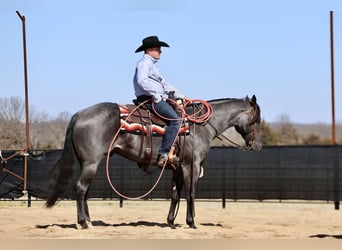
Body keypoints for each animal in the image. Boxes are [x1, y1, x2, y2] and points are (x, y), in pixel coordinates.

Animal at [44, 94, 260, 229]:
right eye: (256, 119)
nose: (258, 146)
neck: (200, 126)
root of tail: (79, 114)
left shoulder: (176, 168)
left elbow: (175, 194)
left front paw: (171, 221)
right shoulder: (190, 165)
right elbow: (190, 193)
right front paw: (192, 222)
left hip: (87, 163)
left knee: (85, 191)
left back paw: (89, 220)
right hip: (91, 162)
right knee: (81, 188)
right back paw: (83, 223)